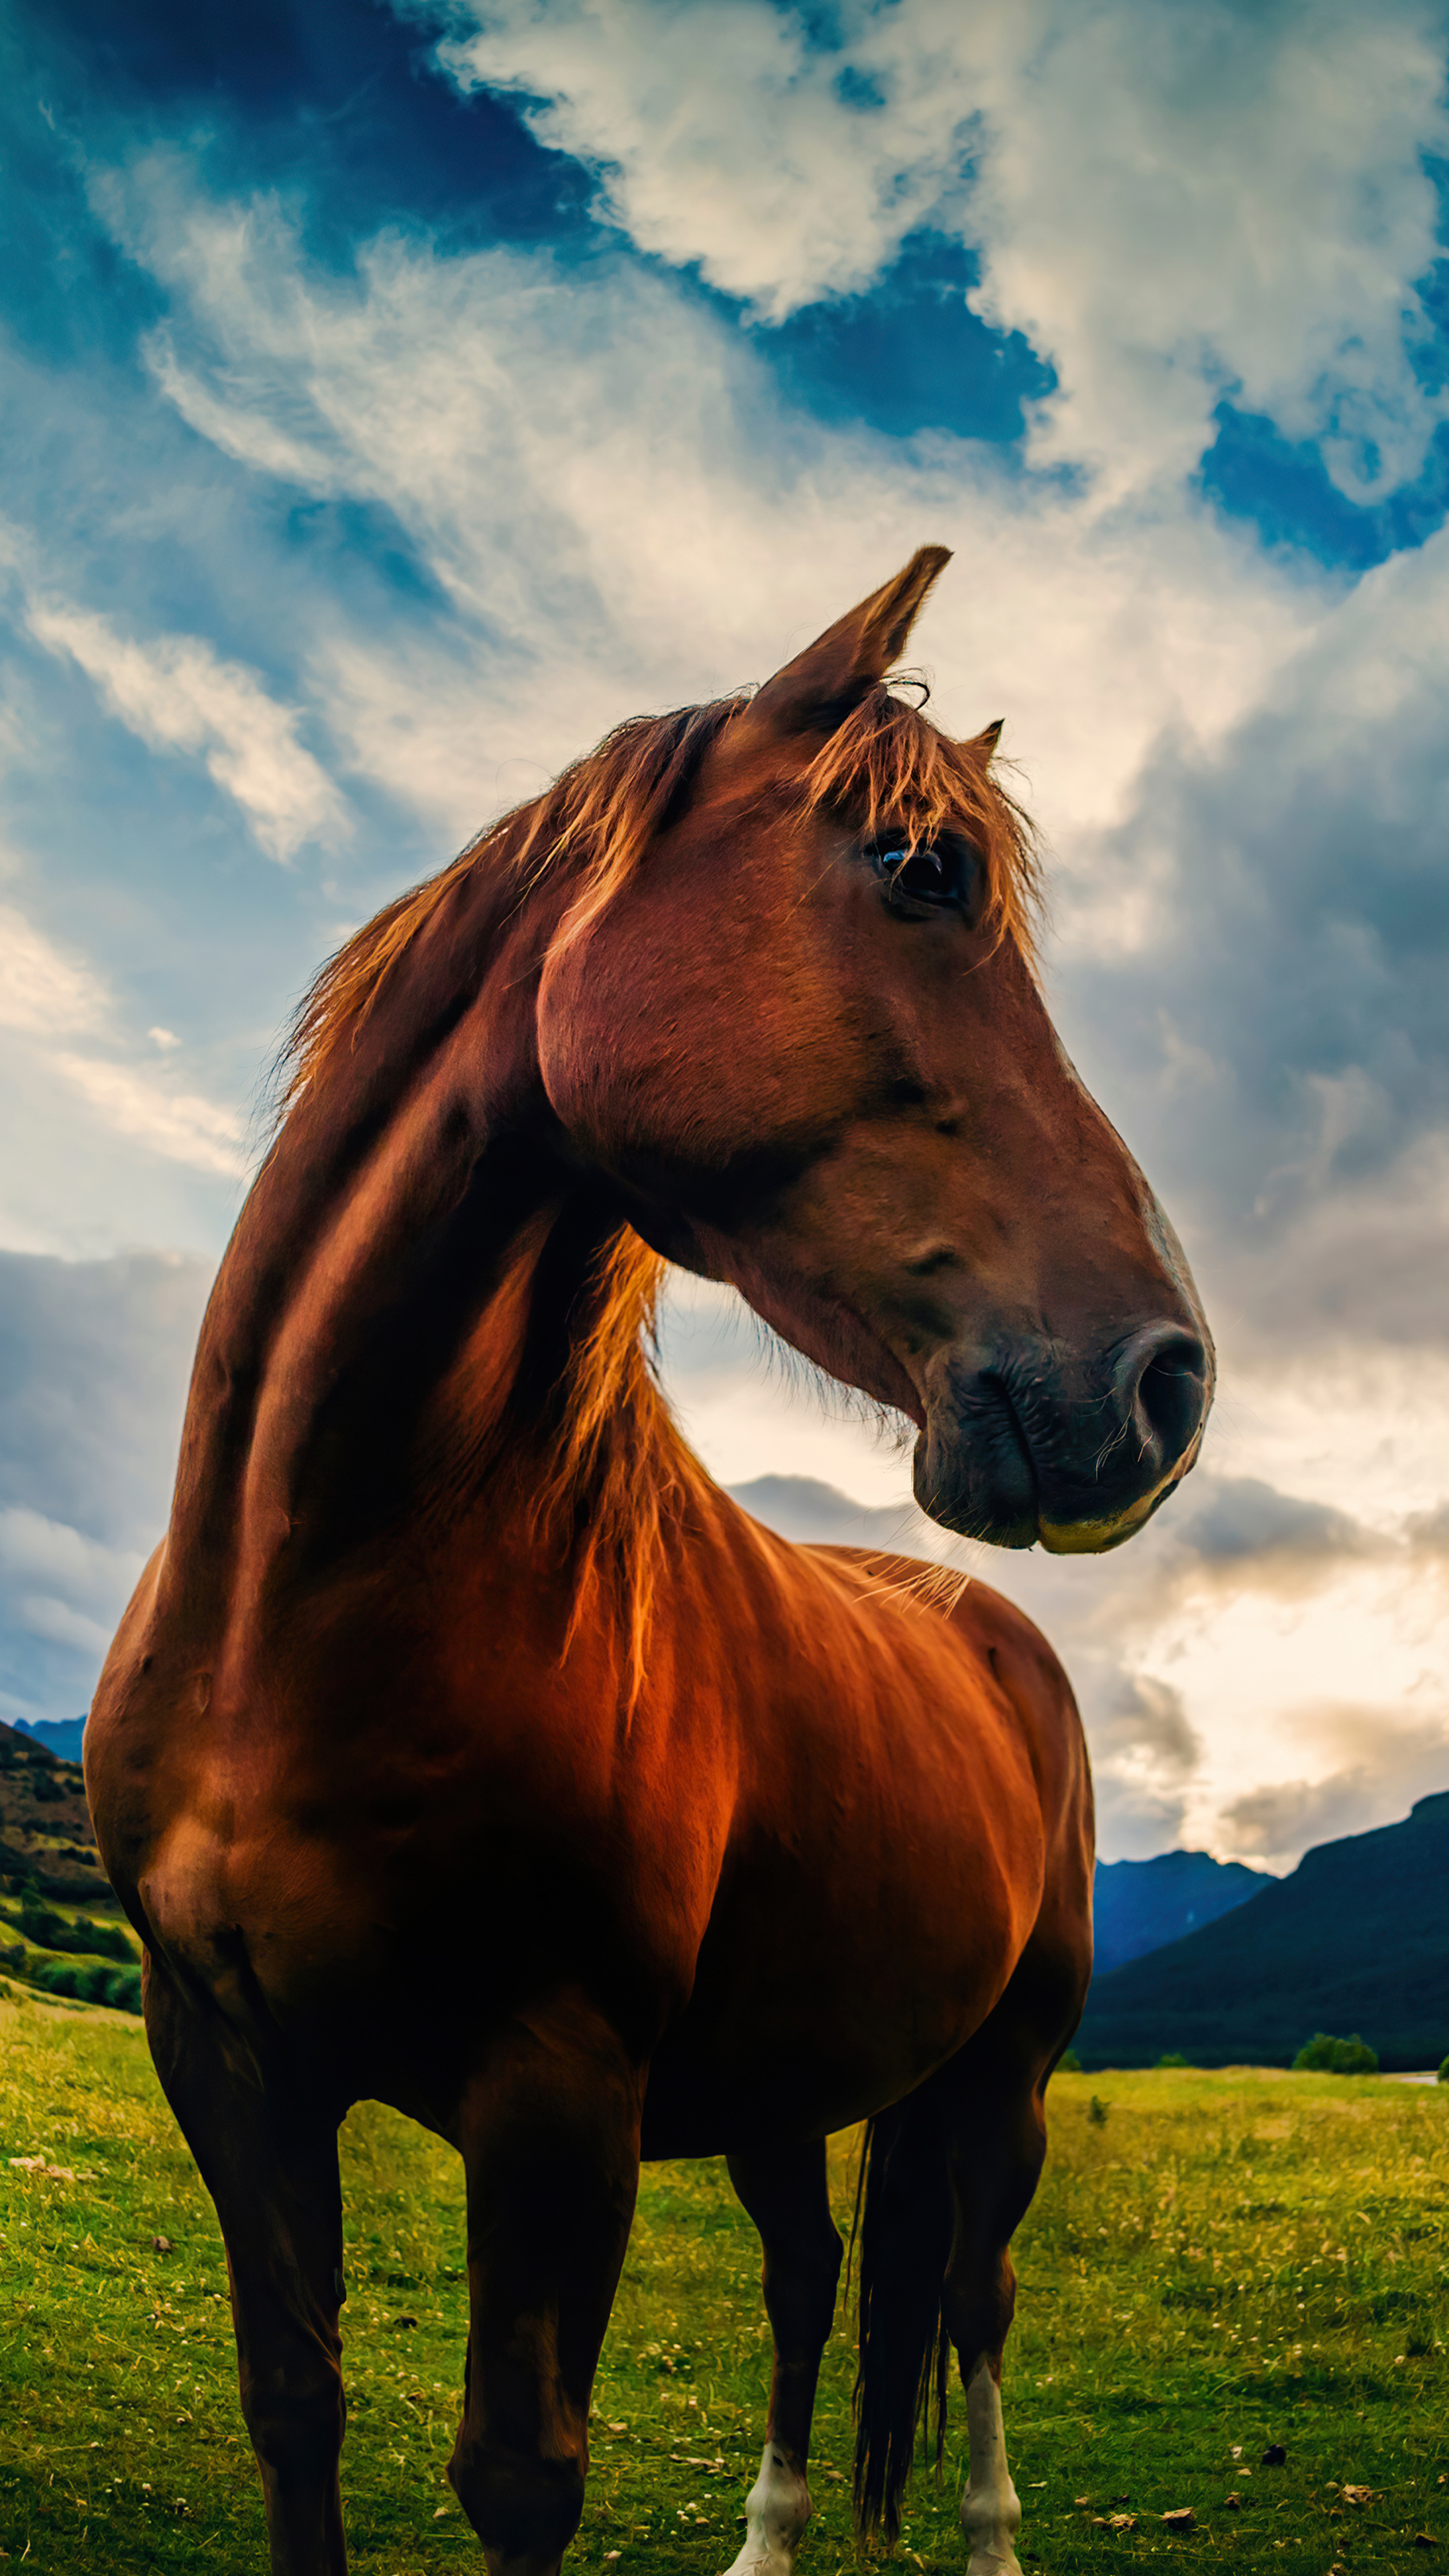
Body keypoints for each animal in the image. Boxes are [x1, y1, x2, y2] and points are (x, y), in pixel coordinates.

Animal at [82, 553, 1206, 2576]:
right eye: (916, 868)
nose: (1165, 1381)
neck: (304, 1601)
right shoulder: (223, 2058)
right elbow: (294, 2406)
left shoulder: (557, 2095)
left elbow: (521, 2472)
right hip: (786, 2075)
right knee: (811, 2276)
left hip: (1001, 2077)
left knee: (975, 2301)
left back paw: (990, 2536)